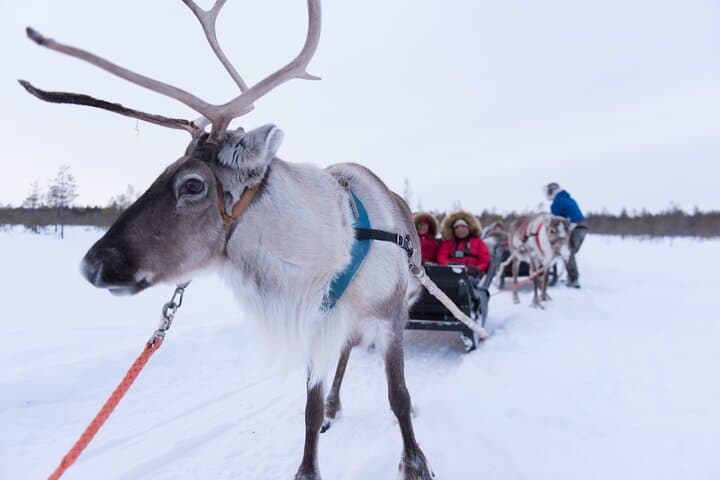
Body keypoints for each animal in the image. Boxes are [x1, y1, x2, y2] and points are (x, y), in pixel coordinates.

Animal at [19, 1, 448, 479]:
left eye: (192, 184)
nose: (92, 264)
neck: (330, 253)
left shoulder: (390, 318)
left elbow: (399, 397)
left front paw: (416, 462)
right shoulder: (316, 325)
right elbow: (310, 408)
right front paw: (308, 463)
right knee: (344, 358)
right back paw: (337, 406)